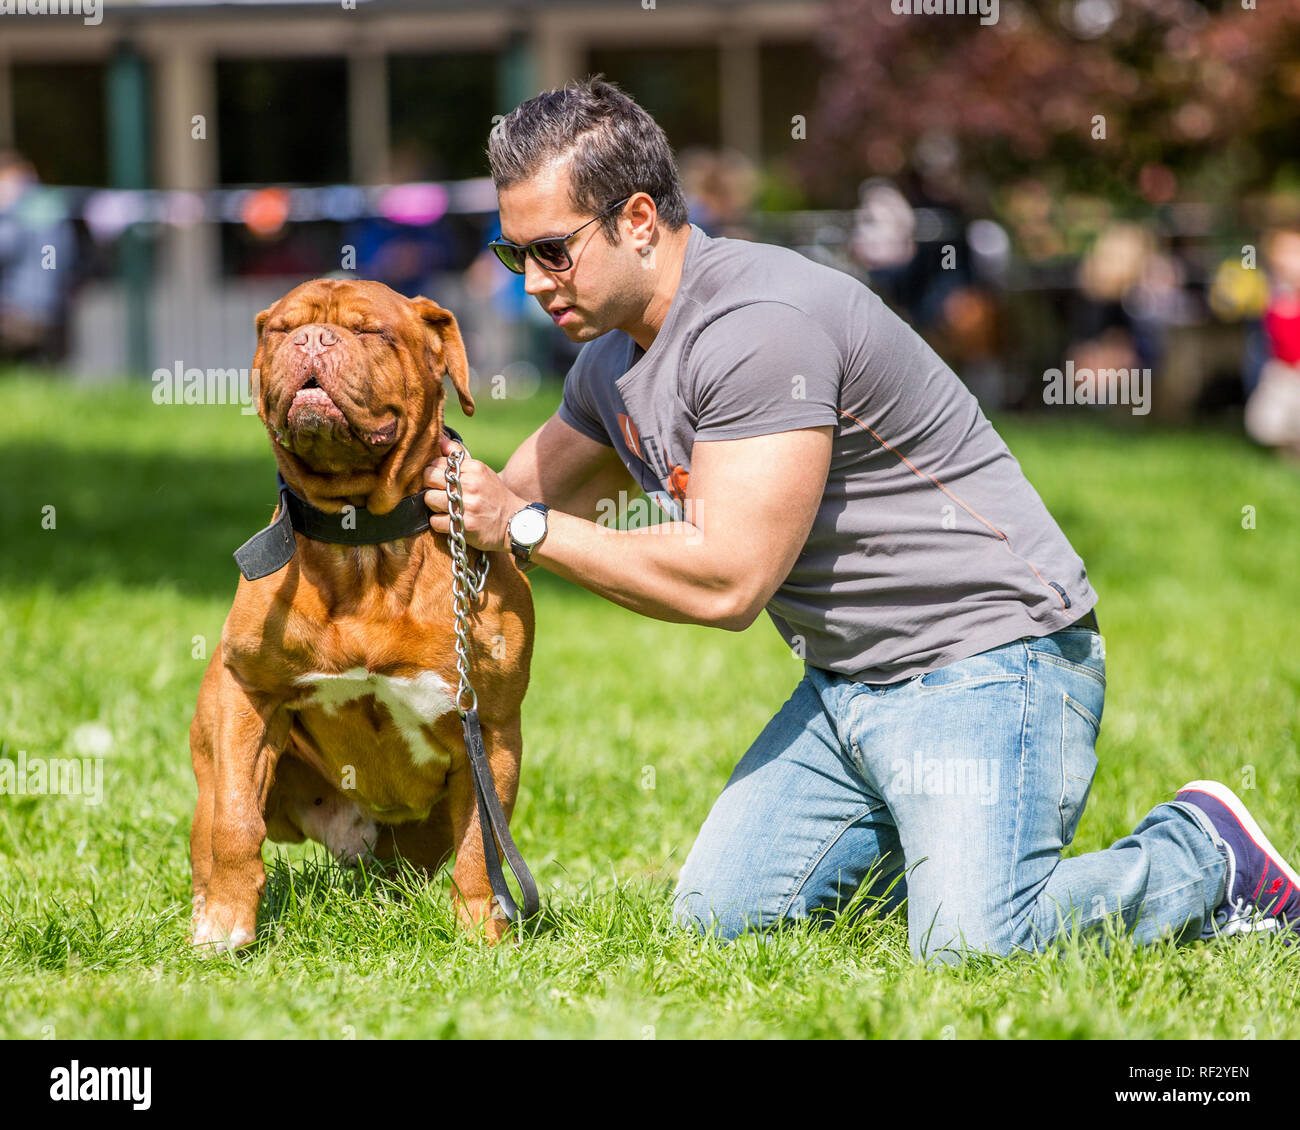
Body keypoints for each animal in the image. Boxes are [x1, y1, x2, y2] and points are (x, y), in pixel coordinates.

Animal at [188, 278, 533, 946]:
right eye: (281, 329)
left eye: (371, 331)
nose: (312, 339)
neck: (362, 542)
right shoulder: (248, 698)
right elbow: (235, 822)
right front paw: (226, 925)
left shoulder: (492, 731)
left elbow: (481, 848)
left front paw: (482, 932)